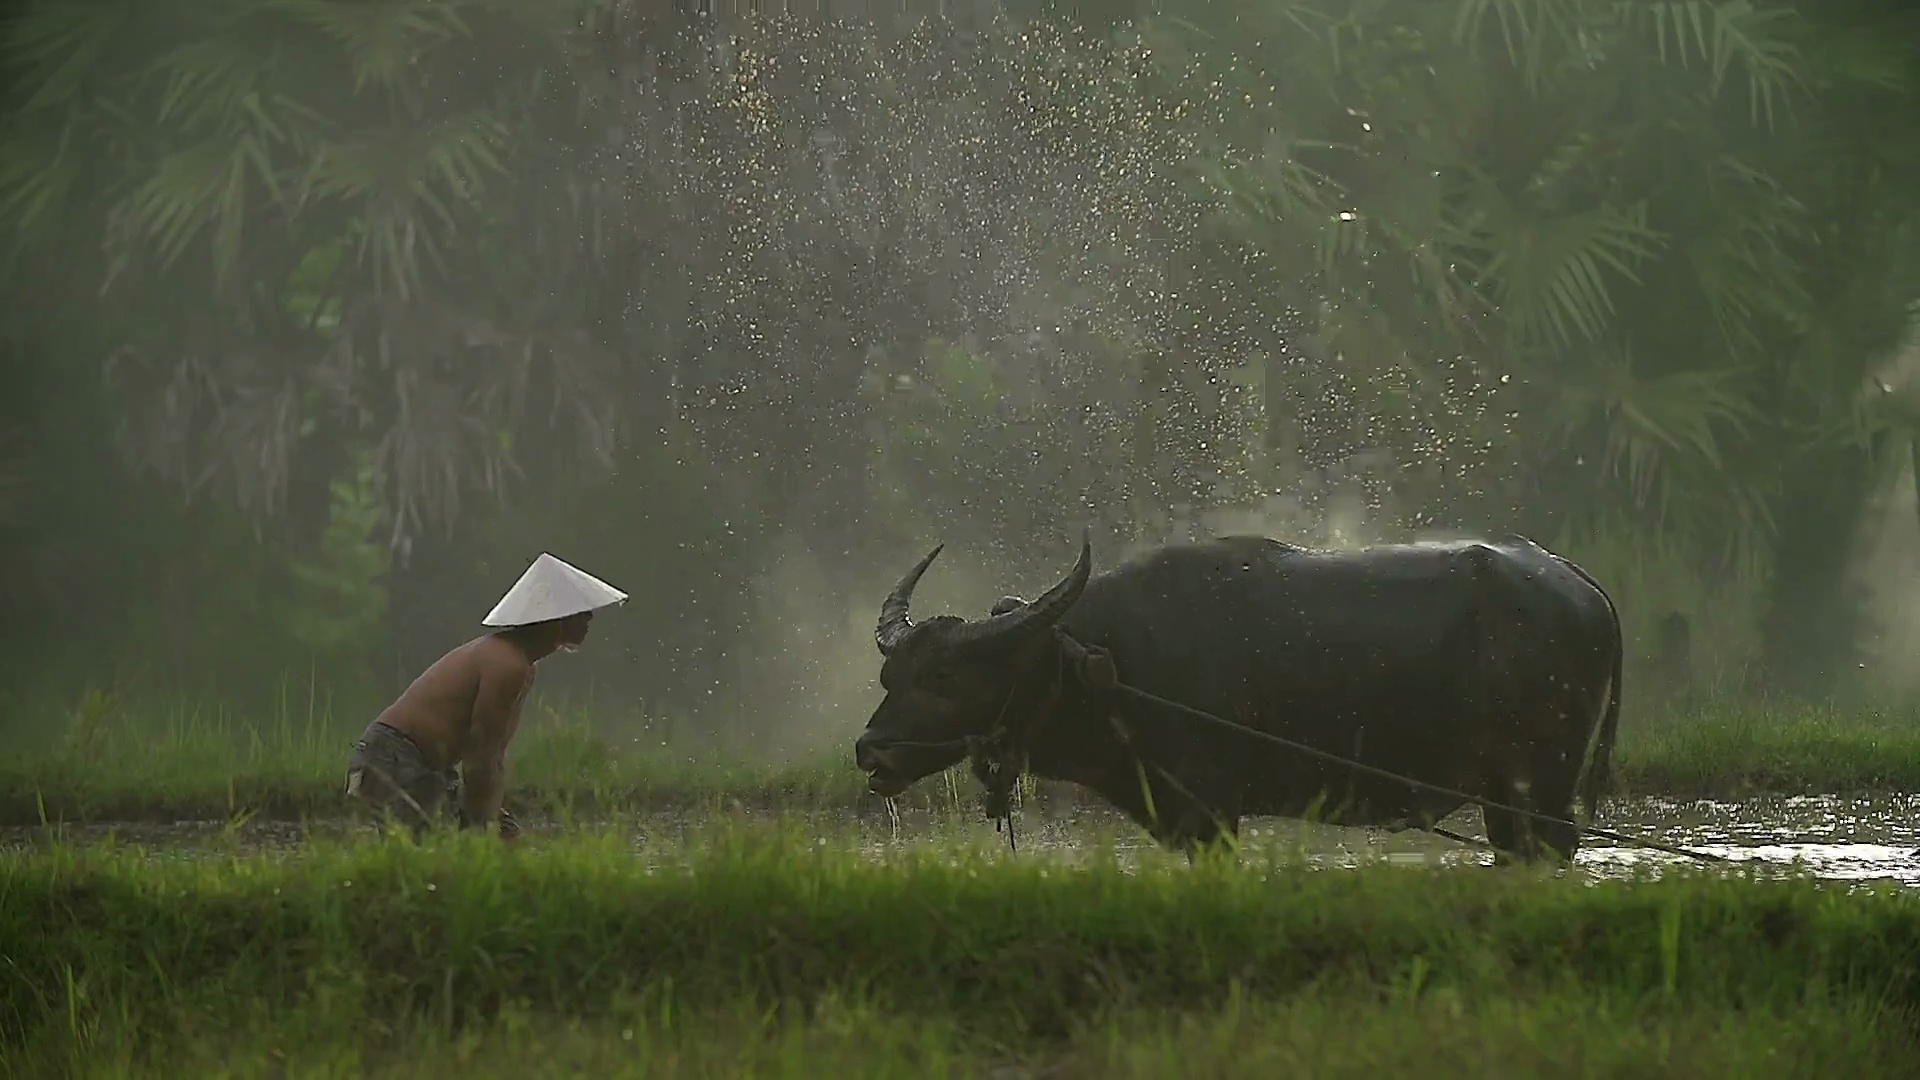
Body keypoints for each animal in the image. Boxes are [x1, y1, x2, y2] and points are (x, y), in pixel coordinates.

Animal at [856, 534, 1620, 860]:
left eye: (944, 679)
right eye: (892, 679)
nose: (870, 752)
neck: (1117, 665)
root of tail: (1584, 587)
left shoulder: (1208, 812)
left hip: (1543, 786)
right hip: (1505, 797)